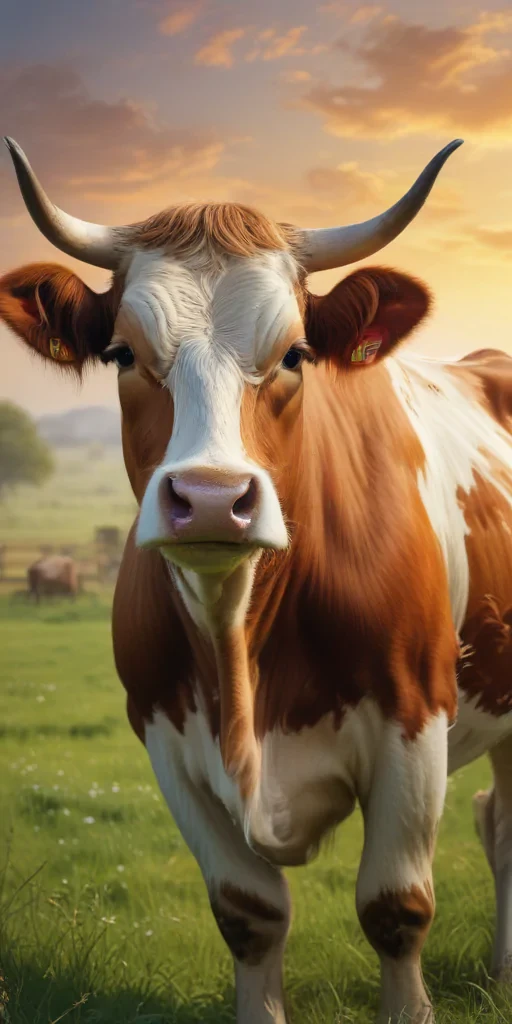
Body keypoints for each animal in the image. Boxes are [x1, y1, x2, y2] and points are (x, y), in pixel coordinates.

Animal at [1, 135, 510, 1024]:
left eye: (296, 354)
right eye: (122, 353)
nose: (211, 498)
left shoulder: (414, 720)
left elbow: (396, 907)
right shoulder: (165, 738)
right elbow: (249, 914)